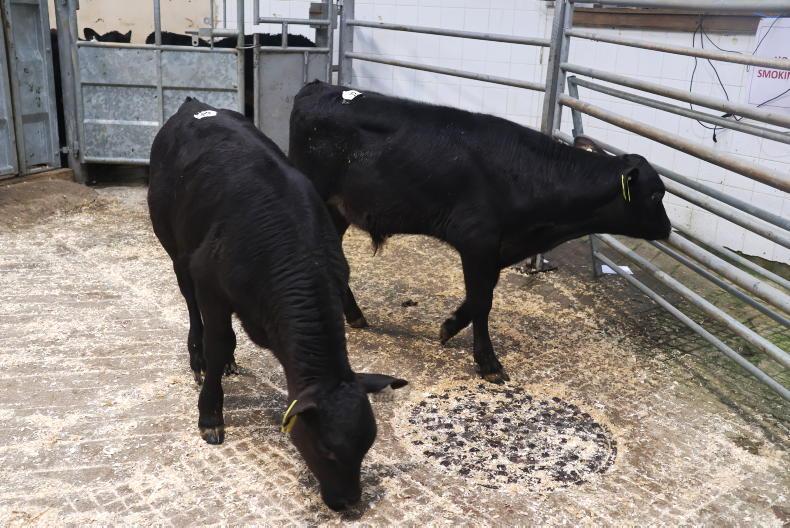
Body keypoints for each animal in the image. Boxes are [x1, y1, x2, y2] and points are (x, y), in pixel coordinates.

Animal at [148, 97, 407, 511]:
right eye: (327, 450)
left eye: (367, 447)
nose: (349, 502)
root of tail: (194, 106)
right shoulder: (210, 284)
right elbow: (218, 341)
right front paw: (210, 414)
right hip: (175, 249)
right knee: (191, 307)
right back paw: (198, 358)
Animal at [289, 80, 672, 384]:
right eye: (657, 194)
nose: (668, 229)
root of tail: (321, 86)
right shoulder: (477, 241)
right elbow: (481, 301)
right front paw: (486, 362)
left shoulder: (497, 249)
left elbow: (479, 298)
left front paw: (450, 328)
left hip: (338, 211)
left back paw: (354, 315)